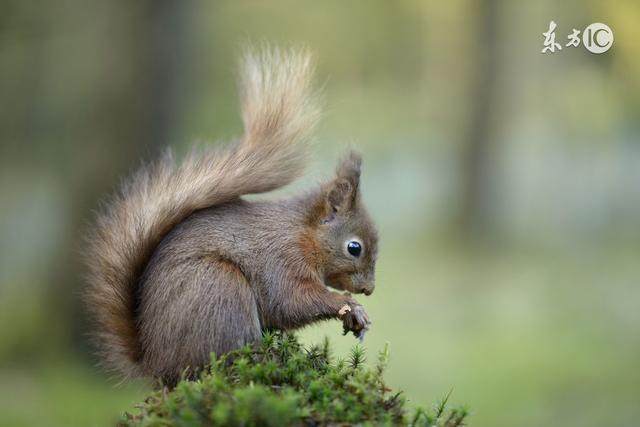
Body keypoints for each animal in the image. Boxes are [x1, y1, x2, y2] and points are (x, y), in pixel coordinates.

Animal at [83, 45, 378, 386]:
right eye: (354, 247)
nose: (369, 289)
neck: (302, 233)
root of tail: (156, 365)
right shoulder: (282, 259)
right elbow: (292, 300)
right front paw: (347, 305)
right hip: (220, 288)